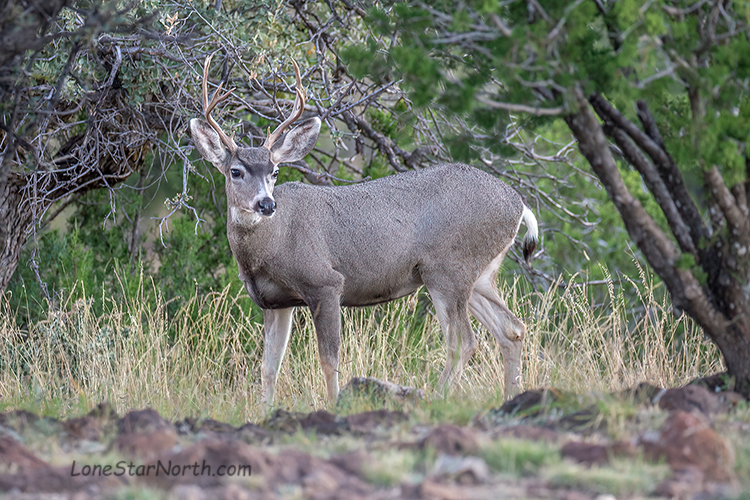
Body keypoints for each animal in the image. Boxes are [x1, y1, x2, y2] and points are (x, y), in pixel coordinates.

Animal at [189, 55, 540, 406]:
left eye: (275, 171)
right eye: (236, 171)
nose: (266, 204)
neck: (272, 243)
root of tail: (519, 204)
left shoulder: (324, 282)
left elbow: (328, 359)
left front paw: (333, 404)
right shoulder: (276, 302)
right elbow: (268, 367)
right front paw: (265, 410)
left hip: (447, 268)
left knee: (463, 341)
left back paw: (435, 399)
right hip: (479, 275)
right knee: (511, 329)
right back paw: (512, 396)